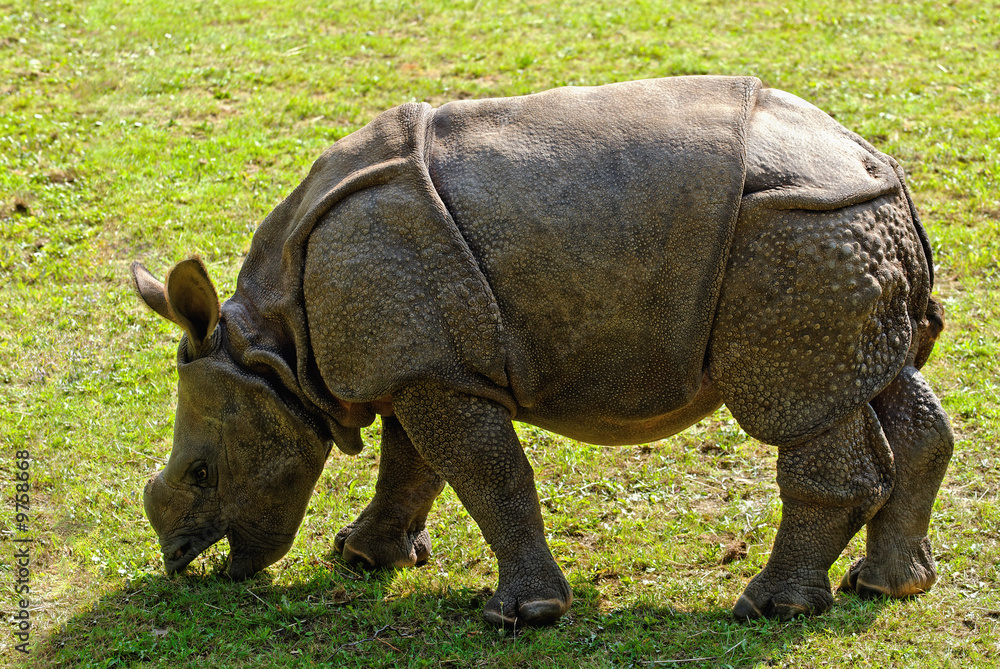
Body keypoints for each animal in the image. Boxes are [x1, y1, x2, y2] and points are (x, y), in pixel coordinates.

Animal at [132, 76, 952, 627]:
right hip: (842, 232)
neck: (275, 347)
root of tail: (884, 170)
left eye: (203, 473)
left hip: (797, 231)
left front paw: (521, 615)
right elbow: (413, 465)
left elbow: (486, 474)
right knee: (881, 383)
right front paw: (362, 557)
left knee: (801, 408)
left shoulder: (425, 368)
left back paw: (770, 608)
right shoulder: (421, 363)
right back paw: (887, 587)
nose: (181, 564)